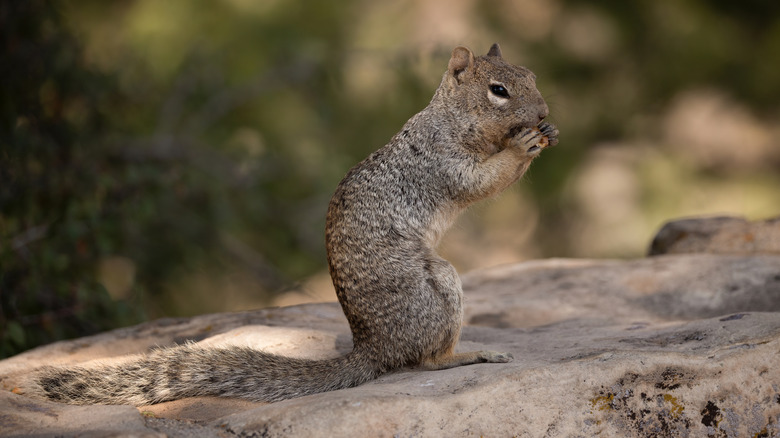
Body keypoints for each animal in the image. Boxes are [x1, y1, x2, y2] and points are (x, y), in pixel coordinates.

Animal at [25, 43, 558, 405]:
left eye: (532, 75)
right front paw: (524, 144)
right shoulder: (441, 160)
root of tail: (373, 347)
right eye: (498, 91)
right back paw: (469, 355)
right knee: (425, 360)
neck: (451, 118)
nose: (545, 112)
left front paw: (547, 132)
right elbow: (481, 180)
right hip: (438, 285)